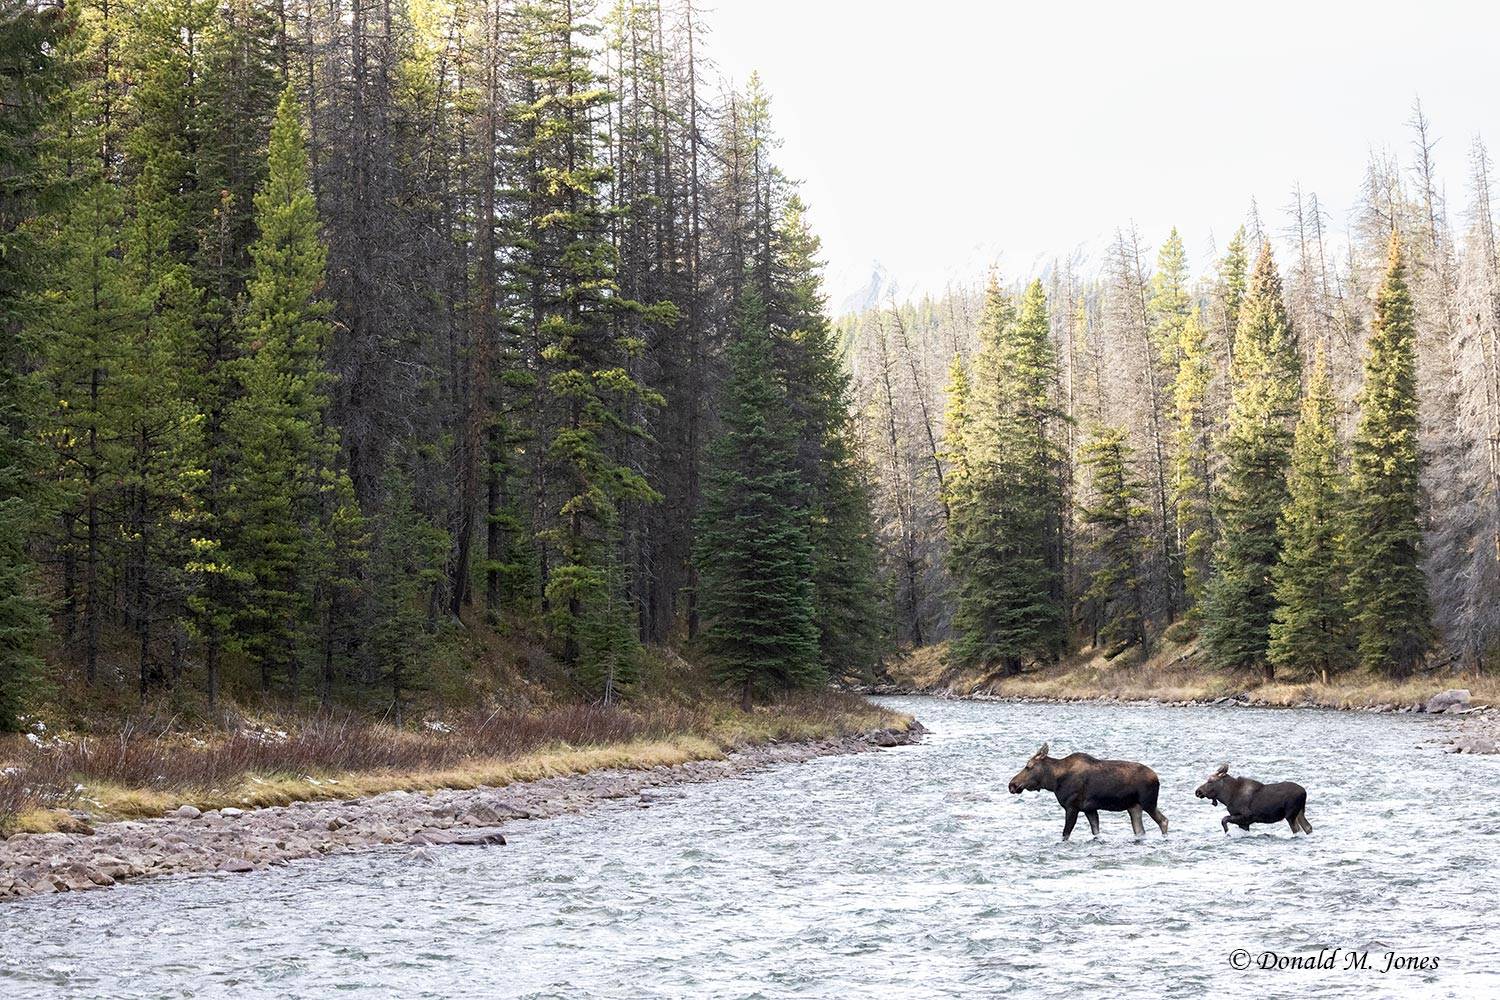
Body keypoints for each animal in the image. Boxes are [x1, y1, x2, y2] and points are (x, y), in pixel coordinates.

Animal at [1008, 743, 1169, 840]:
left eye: (1028, 766)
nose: (1012, 785)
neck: (1053, 781)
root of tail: (1157, 778)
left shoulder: (1072, 807)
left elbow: (1065, 833)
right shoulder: (1089, 809)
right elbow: (1096, 831)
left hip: (1148, 803)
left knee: (1163, 820)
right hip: (1134, 807)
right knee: (1140, 830)